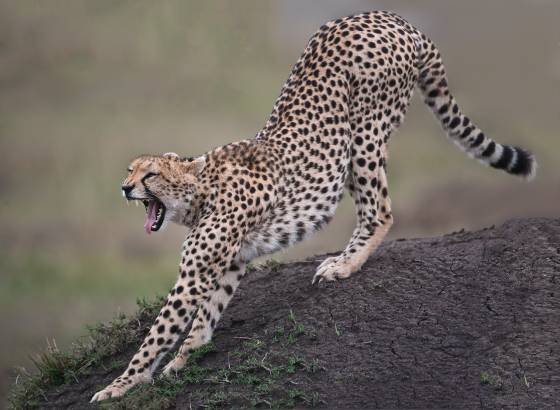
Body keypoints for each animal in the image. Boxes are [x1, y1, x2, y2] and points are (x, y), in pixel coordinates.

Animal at [91, 11, 532, 402]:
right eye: (130, 170)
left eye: (149, 175)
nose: (124, 188)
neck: (200, 190)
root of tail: (391, 17)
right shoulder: (230, 260)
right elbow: (205, 317)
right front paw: (183, 359)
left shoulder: (194, 275)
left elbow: (158, 333)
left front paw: (119, 385)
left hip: (363, 135)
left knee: (380, 210)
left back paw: (343, 264)